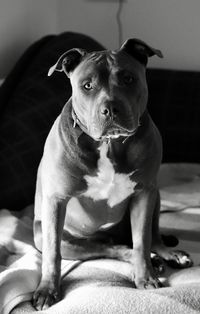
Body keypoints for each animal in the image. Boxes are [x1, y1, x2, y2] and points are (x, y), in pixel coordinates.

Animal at [32, 38, 192, 310]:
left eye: (128, 79)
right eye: (87, 86)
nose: (111, 108)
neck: (110, 144)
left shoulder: (144, 194)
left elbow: (142, 241)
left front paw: (145, 277)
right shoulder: (56, 202)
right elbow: (53, 254)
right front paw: (47, 290)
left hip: (156, 195)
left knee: (151, 237)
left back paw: (166, 255)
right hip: (55, 237)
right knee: (110, 248)